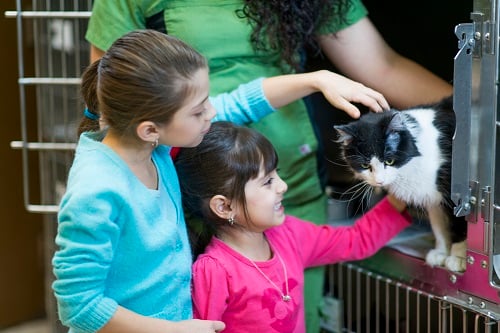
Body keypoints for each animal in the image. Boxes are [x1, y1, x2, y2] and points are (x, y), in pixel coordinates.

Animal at [334, 96, 466, 272]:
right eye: (365, 165)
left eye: (389, 161)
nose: (380, 181)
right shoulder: (433, 198)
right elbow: (440, 227)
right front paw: (441, 253)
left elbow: (460, 227)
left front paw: (458, 258)